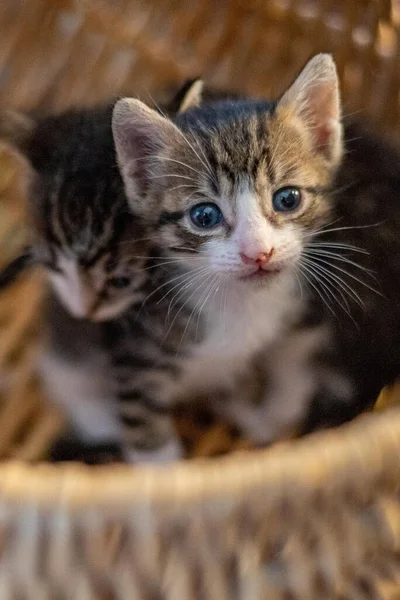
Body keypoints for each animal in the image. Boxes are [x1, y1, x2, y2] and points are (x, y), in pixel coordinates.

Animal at [108, 54, 400, 462]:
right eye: (204, 216)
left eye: (288, 198)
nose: (258, 252)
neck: (242, 305)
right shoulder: (136, 352)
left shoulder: (306, 315)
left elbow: (292, 374)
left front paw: (264, 414)